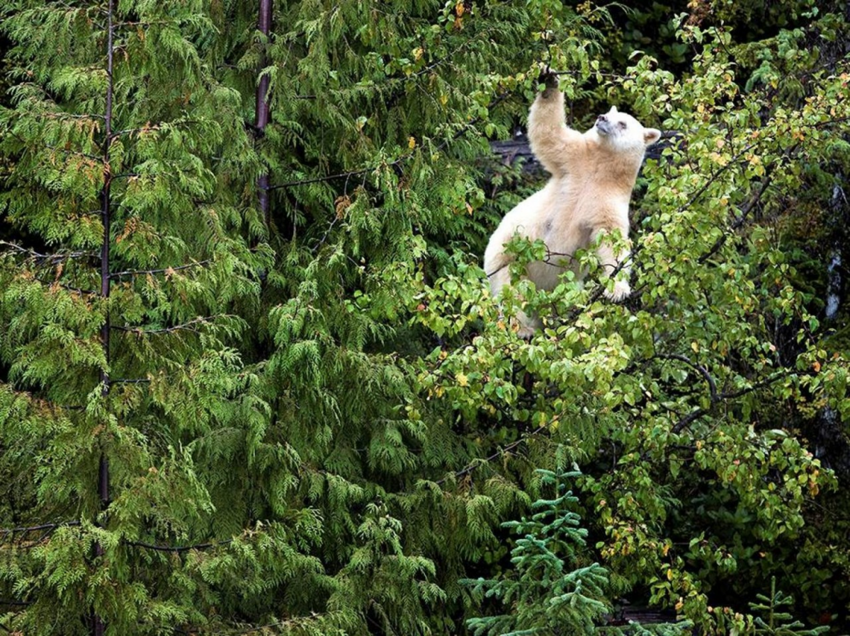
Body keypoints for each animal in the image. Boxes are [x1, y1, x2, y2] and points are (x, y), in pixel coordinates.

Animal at [484, 71, 656, 336]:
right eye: (608, 111)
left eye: (623, 123)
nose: (601, 118)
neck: (600, 169)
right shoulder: (573, 160)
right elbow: (550, 135)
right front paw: (549, 81)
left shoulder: (609, 200)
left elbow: (612, 240)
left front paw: (618, 290)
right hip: (505, 259)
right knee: (512, 291)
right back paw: (523, 329)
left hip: (565, 287)